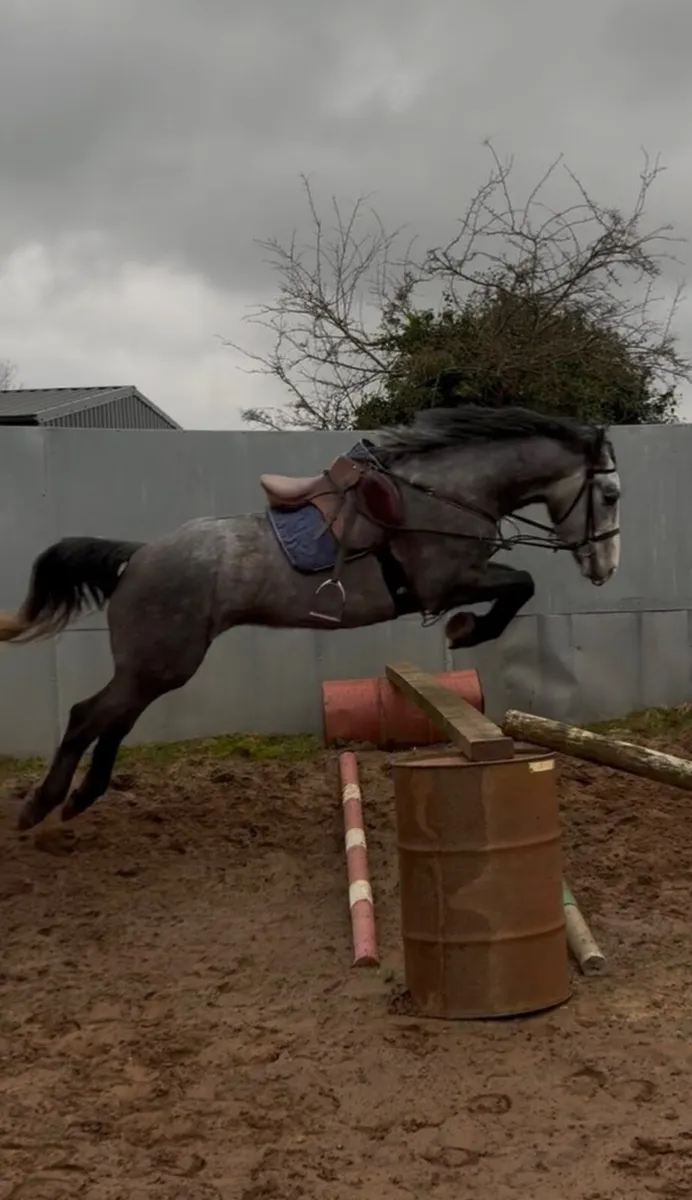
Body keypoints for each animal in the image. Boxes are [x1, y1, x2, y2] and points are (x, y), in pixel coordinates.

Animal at [0, 403, 620, 831]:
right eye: (611, 495)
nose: (605, 567)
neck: (447, 492)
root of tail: (138, 556)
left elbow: (519, 585)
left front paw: (466, 629)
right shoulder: (445, 581)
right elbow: (521, 584)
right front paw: (467, 630)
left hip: (156, 666)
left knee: (115, 721)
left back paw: (81, 797)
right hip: (162, 661)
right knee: (87, 716)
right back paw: (41, 805)